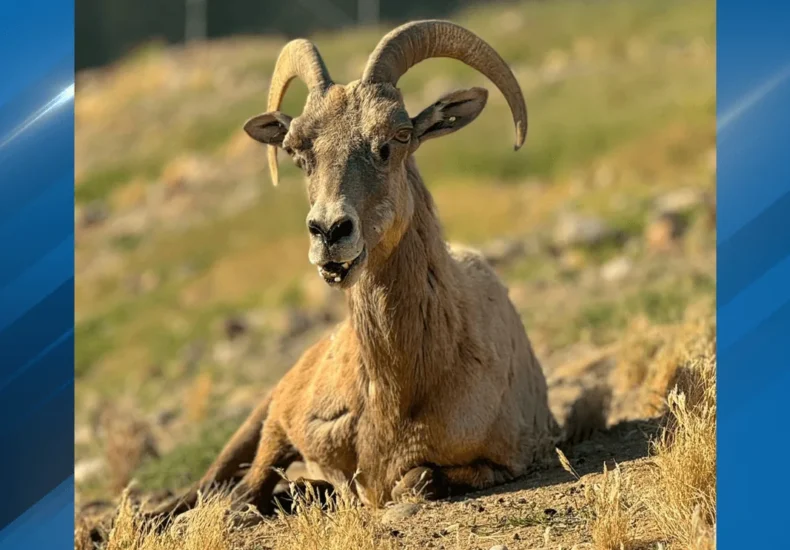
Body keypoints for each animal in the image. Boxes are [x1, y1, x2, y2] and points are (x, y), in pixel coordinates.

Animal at [148, 19, 599, 518]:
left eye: (398, 137)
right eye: (296, 151)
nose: (329, 231)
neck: (406, 391)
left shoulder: (504, 459)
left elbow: (418, 480)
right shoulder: (289, 426)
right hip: (268, 415)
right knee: (222, 485)